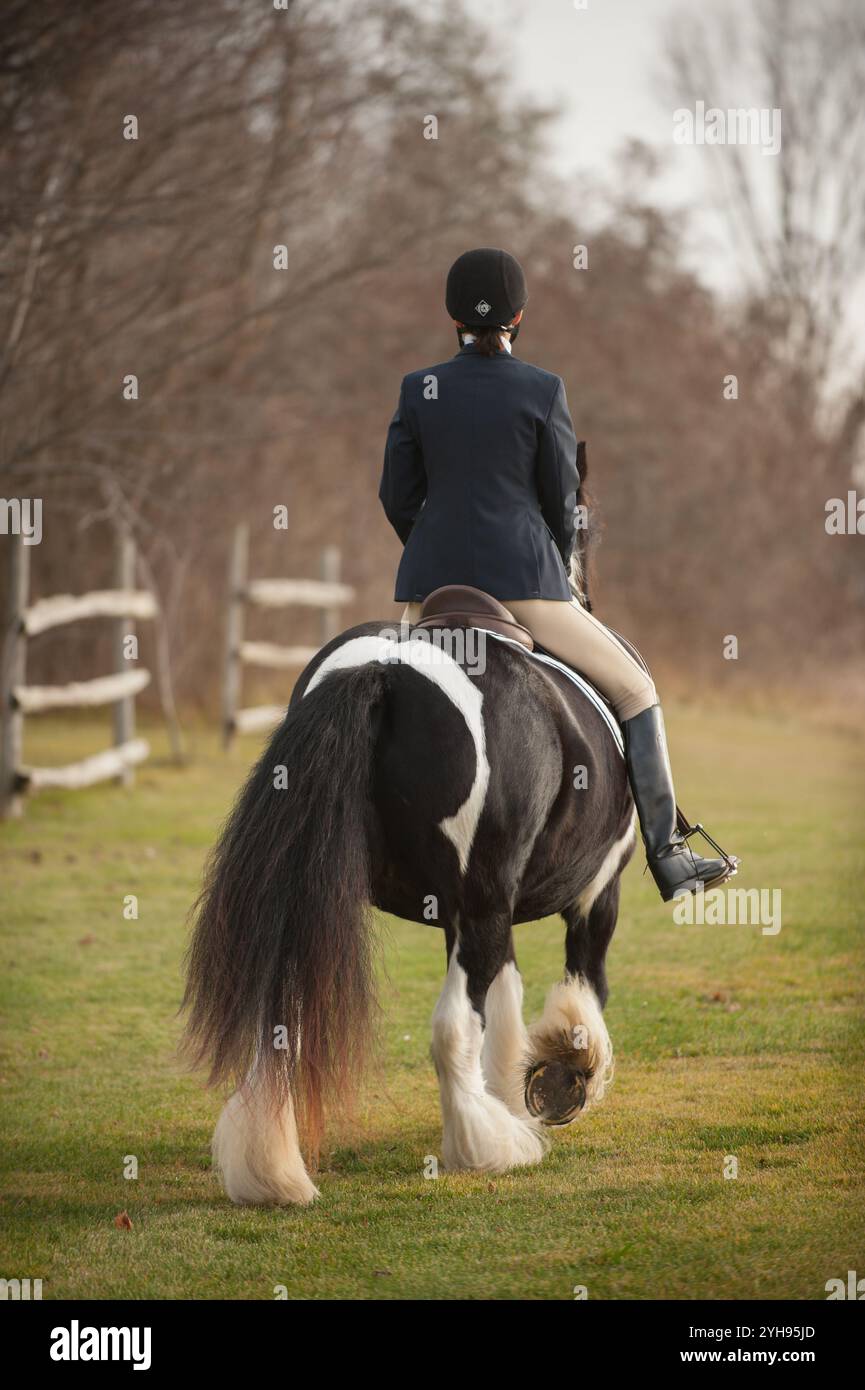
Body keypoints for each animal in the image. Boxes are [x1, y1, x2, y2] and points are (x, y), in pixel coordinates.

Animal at [183, 578, 636, 1206]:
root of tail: (385, 668)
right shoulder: (594, 891)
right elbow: (582, 987)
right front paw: (567, 1072)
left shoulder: (473, 914)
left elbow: (505, 995)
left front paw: (513, 1090)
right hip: (486, 902)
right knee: (453, 1028)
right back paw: (486, 1147)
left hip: (324, 901)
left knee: (281, 1023)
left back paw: (270, 1170)